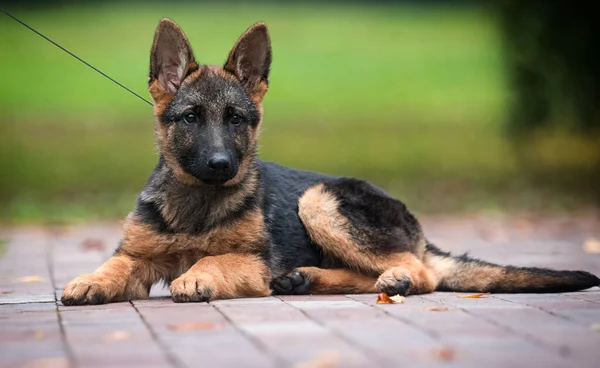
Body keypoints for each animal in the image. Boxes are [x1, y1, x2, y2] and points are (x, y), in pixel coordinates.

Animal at [58, 19, 596, 304]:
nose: (220, 165)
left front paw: (196, 274)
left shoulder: (251, 263)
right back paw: (306, 278)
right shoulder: (137, 256)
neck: (197, 203)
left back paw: (395, 278)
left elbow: (215, 257)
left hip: (319, 201)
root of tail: (419, 231)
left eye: (236, 119)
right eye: (190, 117)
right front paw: (90, 280)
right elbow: (114, 264)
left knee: (421, 272)